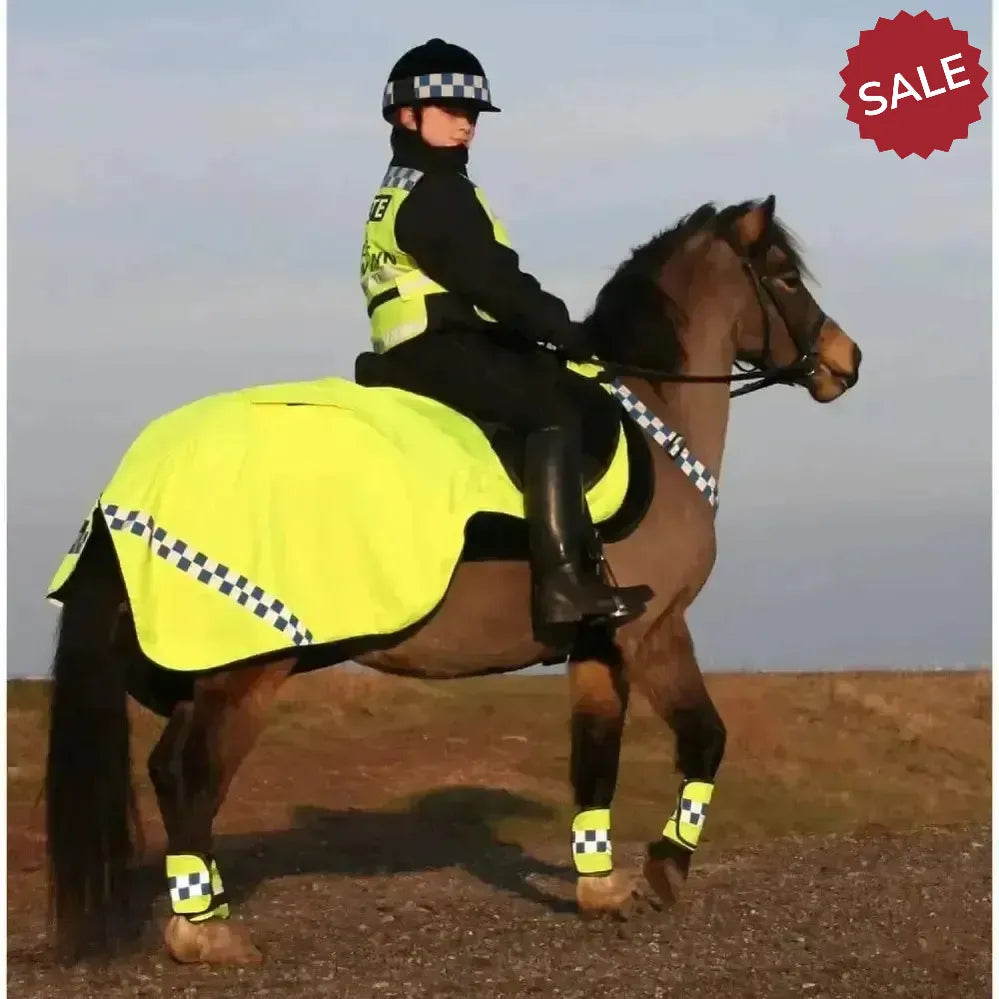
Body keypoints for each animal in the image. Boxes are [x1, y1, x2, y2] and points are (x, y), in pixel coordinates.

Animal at [43, 194, 862, 966]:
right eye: (786, 276)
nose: (845, 360)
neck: (654, 424)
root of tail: (134, 475)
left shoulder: (608, 639)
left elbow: (614, 754)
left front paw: (604, 887)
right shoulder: (647, 631)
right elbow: (683, 743)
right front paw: (659, 870)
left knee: (175, 773)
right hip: (246, 666)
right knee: (187, 774)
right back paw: (206, 933)